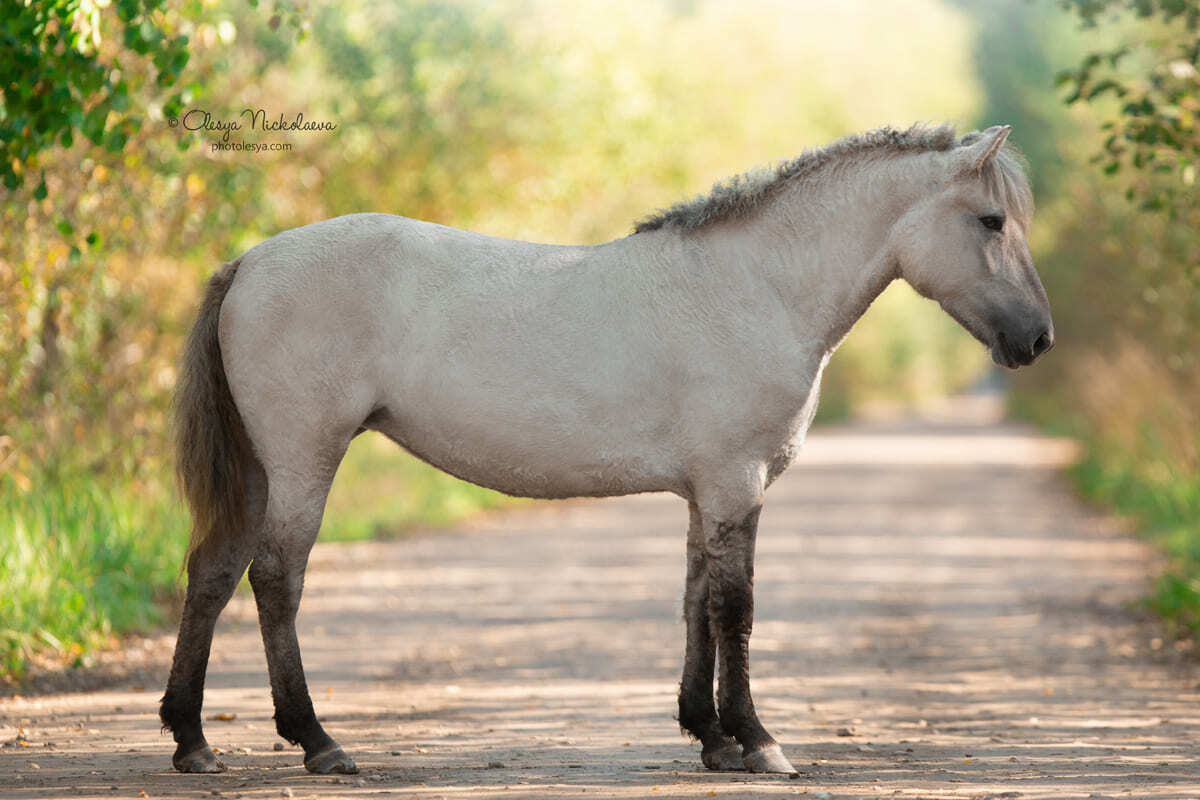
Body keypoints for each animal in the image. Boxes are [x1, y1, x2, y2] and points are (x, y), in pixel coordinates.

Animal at [157, 123, 1051, 777]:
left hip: (260, 470)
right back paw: (317, 741)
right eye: (991, 221)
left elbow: (696, 601)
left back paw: (193, 741)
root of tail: (250, 261)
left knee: (211, 574)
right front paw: (758, 742)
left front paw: (710, 738)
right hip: (302, 458)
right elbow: (736, 606)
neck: (756, 286)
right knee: (276, 579)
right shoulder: (737, 482)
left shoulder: (706, 491)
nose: (1038, 340)